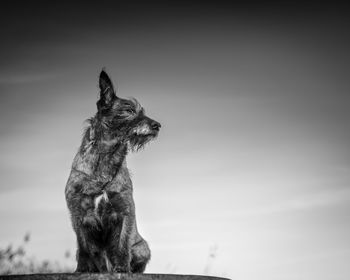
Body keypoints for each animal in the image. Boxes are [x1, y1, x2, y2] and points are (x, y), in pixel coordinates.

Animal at [65, 70, 161, 274]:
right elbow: (84, 247)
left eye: (142, 111)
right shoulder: (77, 212)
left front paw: (122, 269)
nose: (157, 125)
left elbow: (122, 244)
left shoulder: (125, 209)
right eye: (129, 110)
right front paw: (83, 269)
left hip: (143, 247)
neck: (106, 158)